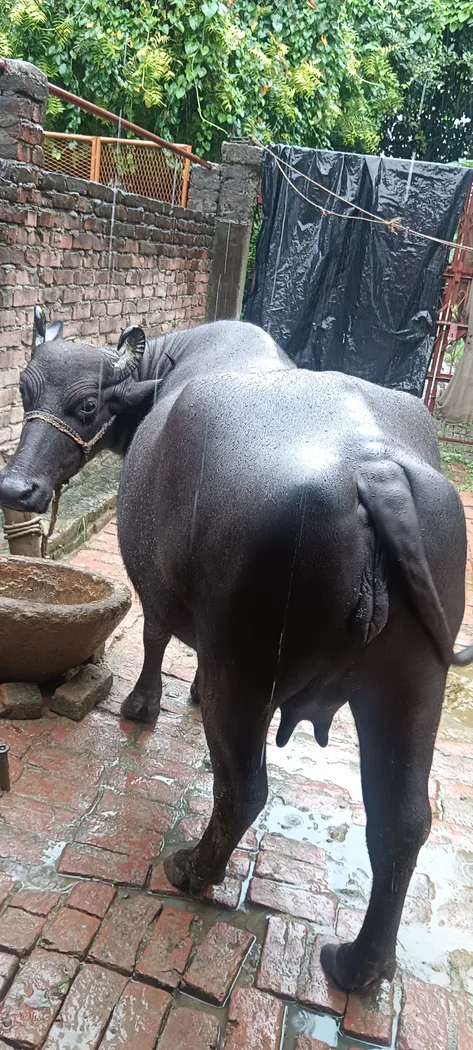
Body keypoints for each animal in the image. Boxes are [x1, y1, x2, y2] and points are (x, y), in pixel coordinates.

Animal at [0, 305, 471, 992]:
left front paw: (141, 707)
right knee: (403, 820)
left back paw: (192, 869)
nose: (17, 489)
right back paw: (358, 964)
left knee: (244, 788)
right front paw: (188, 693)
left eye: (87, 405)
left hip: (246, 672)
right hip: (414, 687)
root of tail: (374, 470)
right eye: (23, 391)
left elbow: (154, 639)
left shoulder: (155, 587)